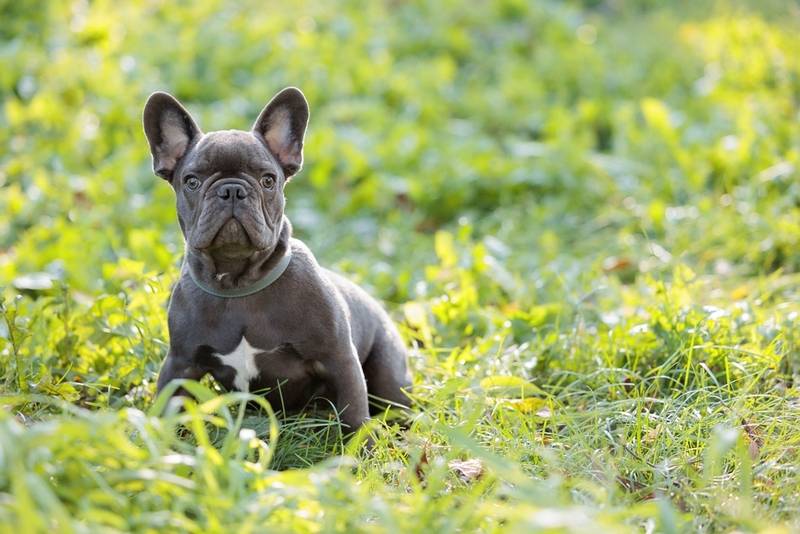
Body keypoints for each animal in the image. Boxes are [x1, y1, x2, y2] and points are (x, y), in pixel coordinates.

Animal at [141, 87, 412, 432]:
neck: (238, 284)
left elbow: (353, 412)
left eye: (268, 180)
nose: (232, 190)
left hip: (389, 374)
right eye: (192, 181)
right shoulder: (180, 364)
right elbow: (167, 404)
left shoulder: (339, 358)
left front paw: (356, 445)